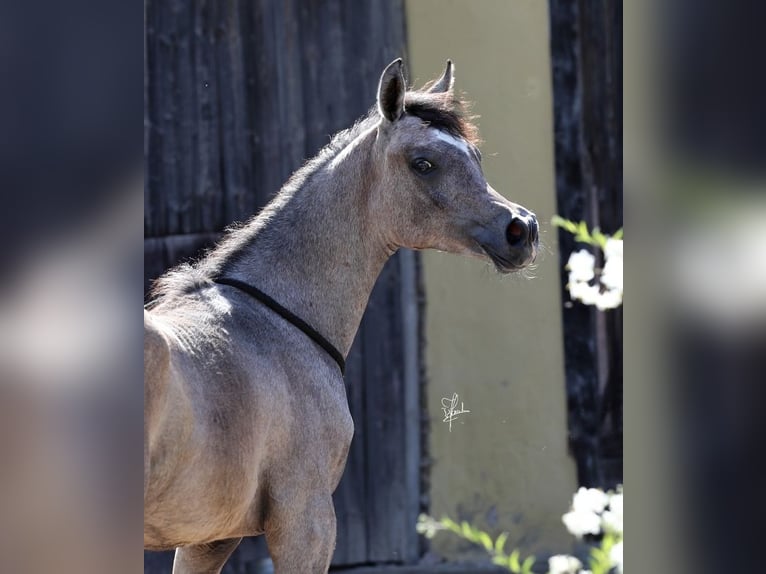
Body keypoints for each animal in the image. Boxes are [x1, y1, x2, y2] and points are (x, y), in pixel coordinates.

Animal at [146, 59, 540, 574]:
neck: (272, 326)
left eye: (474, 155)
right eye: (423, 163)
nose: (522, 230)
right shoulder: (306, 522)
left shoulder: (206, 539)